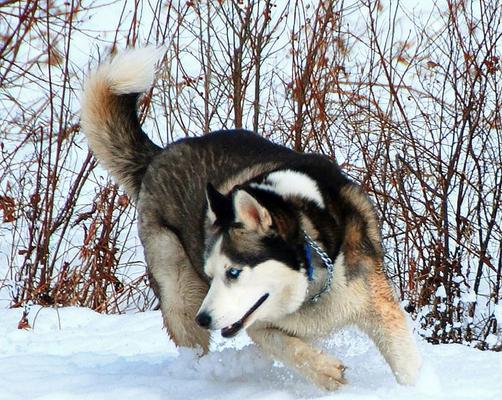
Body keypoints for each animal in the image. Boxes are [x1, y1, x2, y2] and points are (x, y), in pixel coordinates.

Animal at [81, 49, 420, 390]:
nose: (204, 318)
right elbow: (288, 347)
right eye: (211, 273)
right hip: (178, 284)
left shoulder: (377, 306)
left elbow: (405, 363)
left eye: (233, 272)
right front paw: (324, 370)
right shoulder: (258, 323)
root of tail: (159, 155)